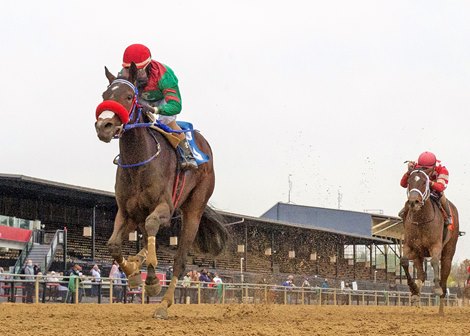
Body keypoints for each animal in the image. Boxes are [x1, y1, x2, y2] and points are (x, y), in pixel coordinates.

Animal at [93, 64, 228, 318]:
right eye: (104, 96)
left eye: (129, 96)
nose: (103, 126)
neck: (139, 162)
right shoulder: (126, 211)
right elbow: (114, 244)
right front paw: (134, 274)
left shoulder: (165, 206)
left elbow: (153, 226)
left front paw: (152, 281)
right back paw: (137, 262)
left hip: (193, 209)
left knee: (179, 260)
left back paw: (164, 304)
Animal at [400, 169, 458, 314]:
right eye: (409, 181)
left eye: (424, 182)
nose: (414, 202)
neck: (421, 220)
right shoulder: (410, 246)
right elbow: (404, 261)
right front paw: (413, 289)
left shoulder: (435, 245)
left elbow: (434, 261)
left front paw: (436, 288)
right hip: (418, 254)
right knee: (421, 274)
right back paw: (416, 294)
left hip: (449, 251)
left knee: (444, 277)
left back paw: (441, 310)